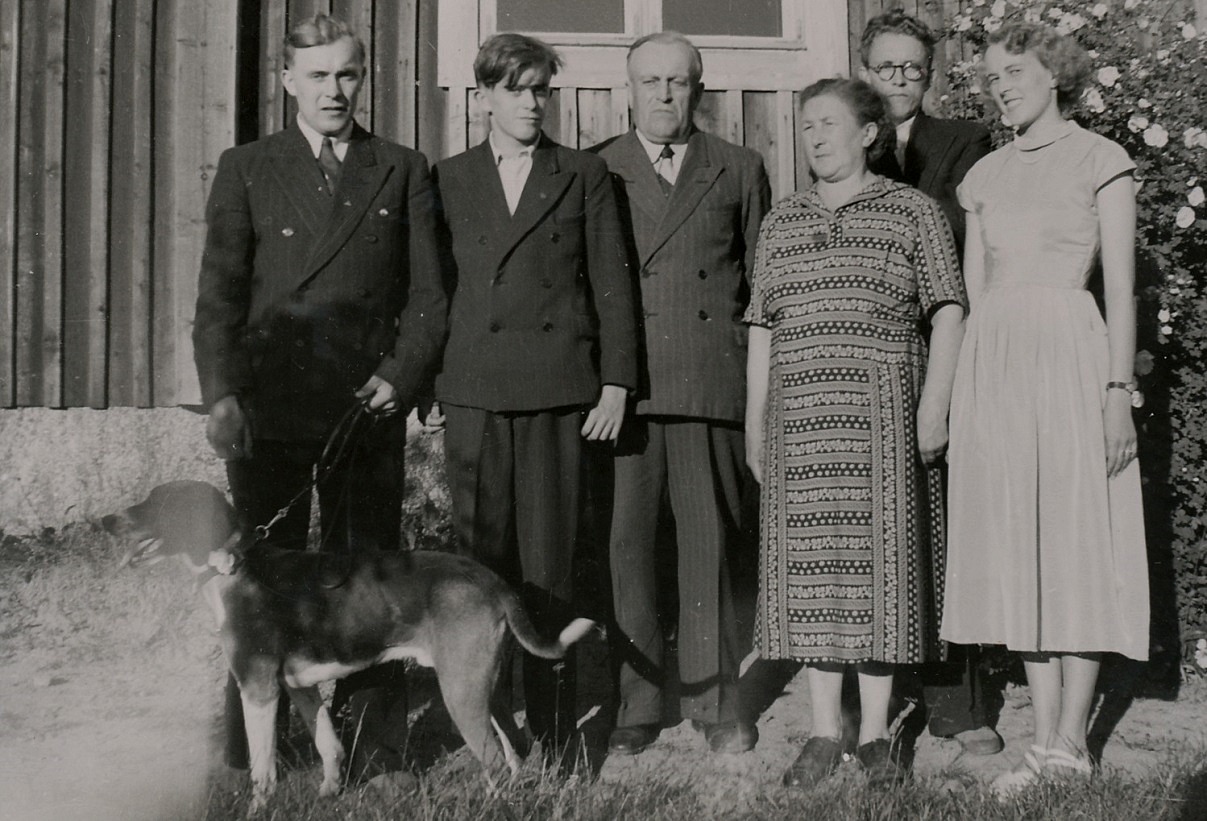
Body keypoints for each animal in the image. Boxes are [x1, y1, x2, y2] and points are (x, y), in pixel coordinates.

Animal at [103, 485, 593, 811]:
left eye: (157, 502)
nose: (105, 522)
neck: (232, 566)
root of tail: (492, 581)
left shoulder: (258, 688)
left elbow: (263, 769)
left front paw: (260, 809)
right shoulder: (298, 685)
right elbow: (328, 745)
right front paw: (329, 794)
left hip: (461, 691)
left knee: (493, 757)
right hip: (484, 689)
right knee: (514, 752)